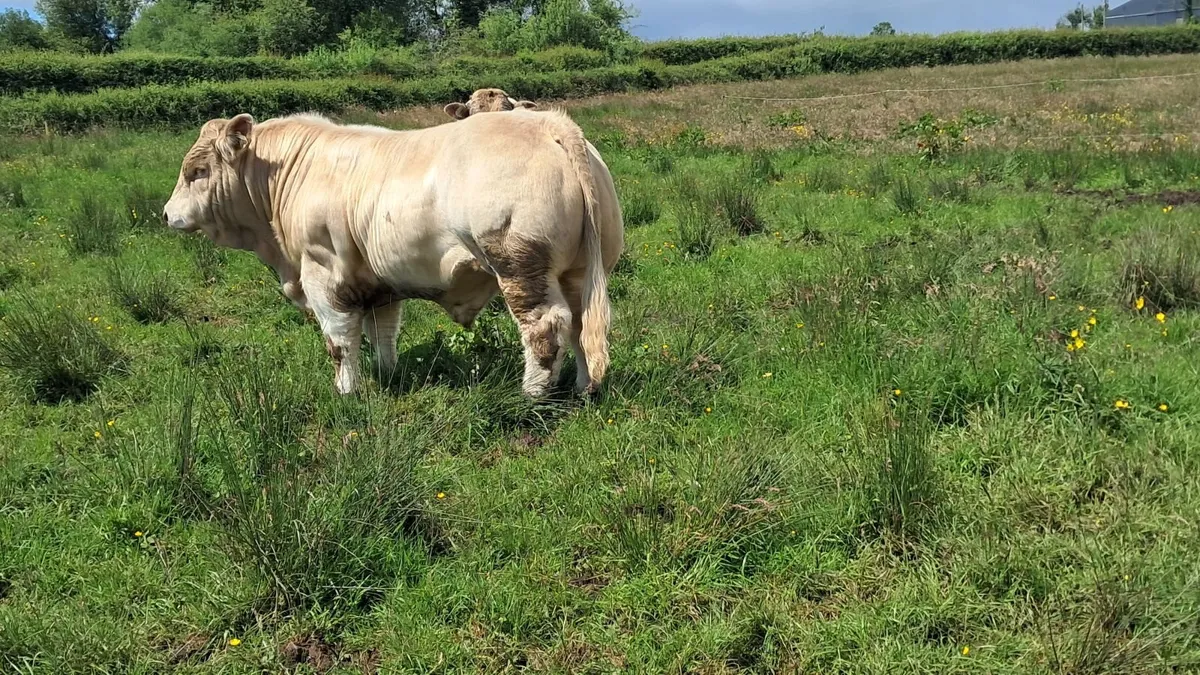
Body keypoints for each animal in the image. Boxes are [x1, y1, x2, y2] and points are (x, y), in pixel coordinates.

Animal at [162, 109, 620, 398]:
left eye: (197, 172)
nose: (166, 213)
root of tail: (547, 122)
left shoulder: (322, 274)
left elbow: (339, 341)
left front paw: (347, 393)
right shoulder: (377, 283)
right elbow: (382, 332)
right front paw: (388, 375)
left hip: (519, 264)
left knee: (546, 325)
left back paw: (532, 394)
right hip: (577, 270)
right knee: (581, 323)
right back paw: (584, 387)